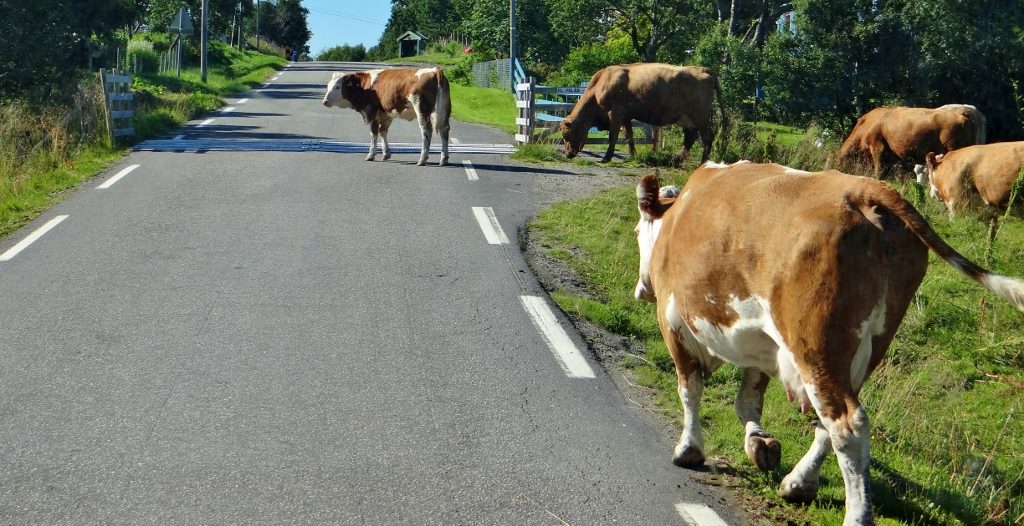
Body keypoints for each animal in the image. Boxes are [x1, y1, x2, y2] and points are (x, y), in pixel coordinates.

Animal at [322, 67, 451, 166]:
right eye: (328, 86)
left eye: (337, 87)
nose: (325, 101)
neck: (365, 86)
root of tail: (435, 70)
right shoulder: (386, 113)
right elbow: (383, 131)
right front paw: (386, 153)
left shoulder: (372, 112)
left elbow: (374, 133)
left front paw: (371, 155)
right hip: (444, 110)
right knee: (444, 130)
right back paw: (444, 159)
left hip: (421, 110)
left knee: (426, 131)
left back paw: (422, 159)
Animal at [559, 63, 726, 165]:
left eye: (566, 135)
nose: (567, 154)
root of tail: (702, 69)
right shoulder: (626, 115)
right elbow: (629, 135)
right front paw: (633, 155)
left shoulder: (615, 113)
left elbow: (613, 136)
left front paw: (606, 157)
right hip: (688, 119)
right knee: (690, 138)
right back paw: (676, 160)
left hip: (700, 117)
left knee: (707, 137)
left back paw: (702, 163)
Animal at [633, 161, 1024, 526]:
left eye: (637, 231)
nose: (641, 290)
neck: (676, 217)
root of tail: (866, 190)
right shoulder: (763, 344)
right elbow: (747, 401)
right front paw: (759, 445)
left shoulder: (672, 321)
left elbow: (690, 388)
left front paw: (689, 450)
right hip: (864, 348)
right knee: (830, 422)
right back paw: (799, 483)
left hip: (814, 346)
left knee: (848, 425)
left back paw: (855, 513)